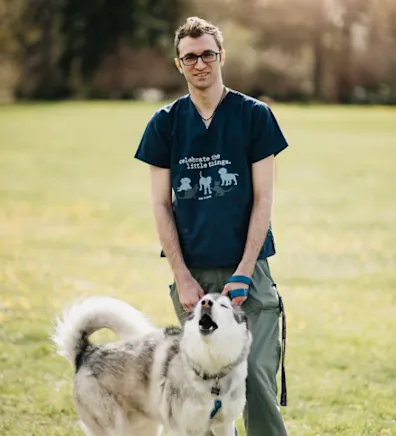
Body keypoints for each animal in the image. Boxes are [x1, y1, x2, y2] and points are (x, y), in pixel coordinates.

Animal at [51, 292, 251, 436]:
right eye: (201, 300)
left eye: (224, 305)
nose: (206, 303)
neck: (211, 369)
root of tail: (86, 352)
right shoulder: (183, 428)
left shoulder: (224, 425)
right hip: (115, 428)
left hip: (146, 427)